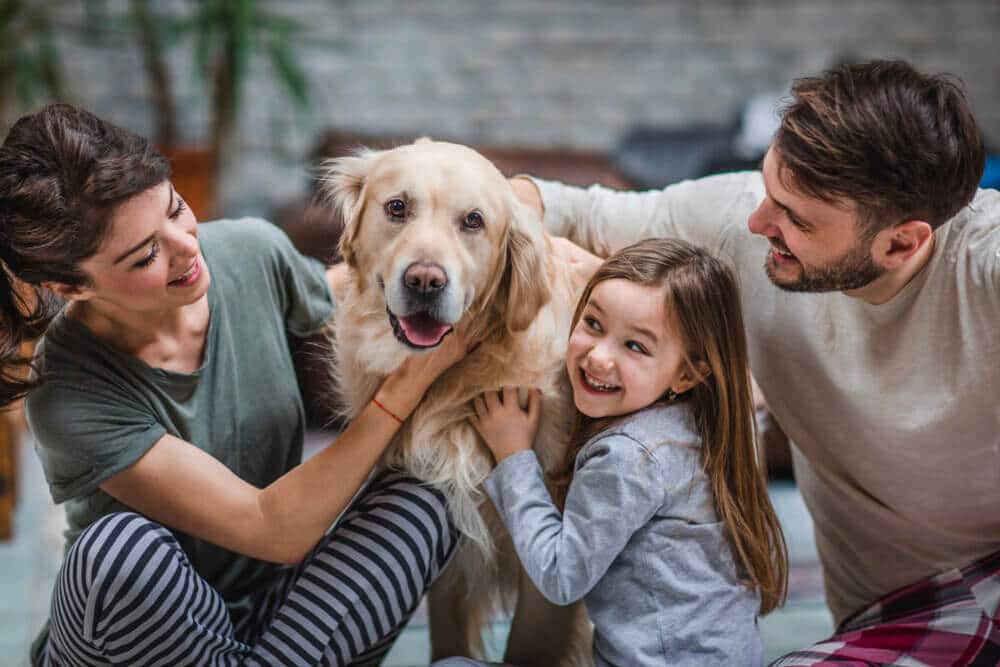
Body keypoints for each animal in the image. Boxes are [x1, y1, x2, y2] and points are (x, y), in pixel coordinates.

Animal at [322, 138, 592, 664]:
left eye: (473, 220)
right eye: (397, 207)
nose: (425, 281)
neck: (462, 380)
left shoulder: (551, 559)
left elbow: (530, 642)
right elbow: (446, 631)